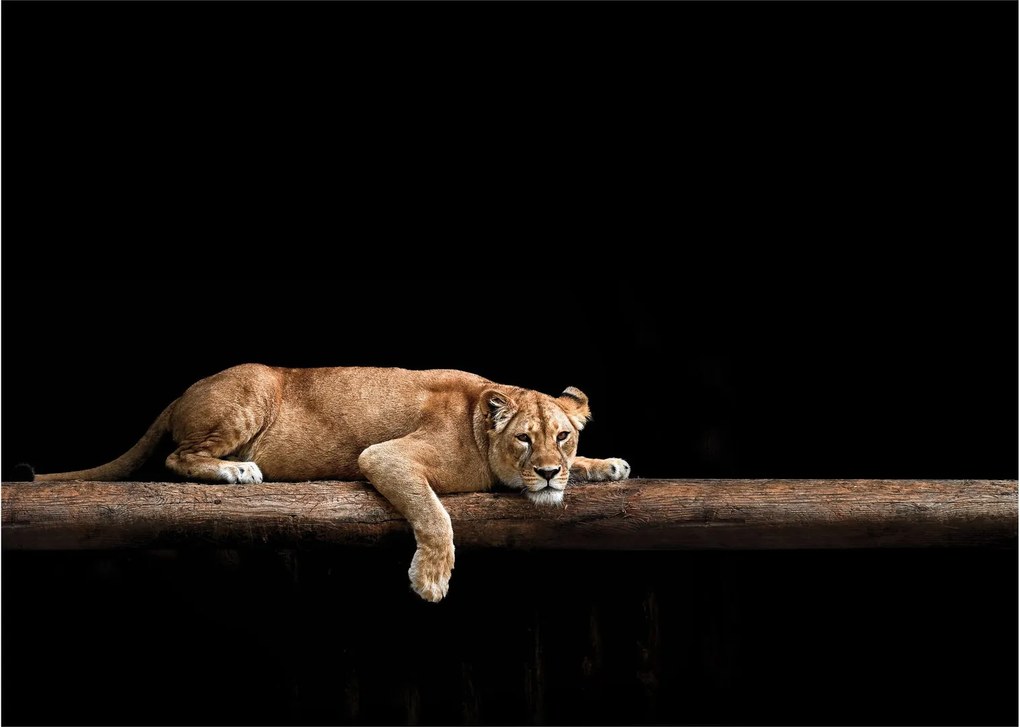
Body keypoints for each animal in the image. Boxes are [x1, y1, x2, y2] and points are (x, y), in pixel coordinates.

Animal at [24, 364, 631, 601]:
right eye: (524, 439)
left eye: (562, 437)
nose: (548, 472)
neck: (481, 419)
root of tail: (181, 392)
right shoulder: (384, 456)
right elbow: (434, 513)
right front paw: (432, 579)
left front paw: (606, 465)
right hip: (251, 391)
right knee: (178, 456)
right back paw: (237, 469)